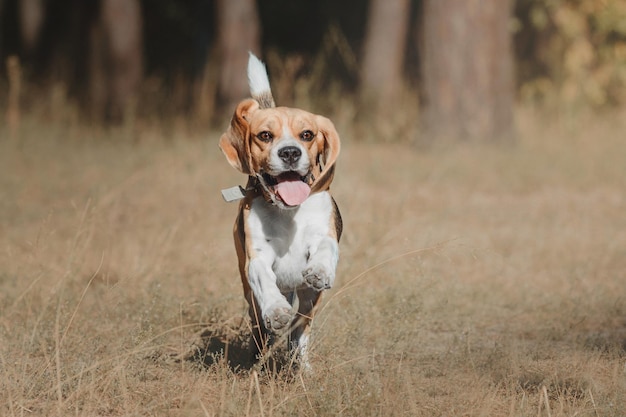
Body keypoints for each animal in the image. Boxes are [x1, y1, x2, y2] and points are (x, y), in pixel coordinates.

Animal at [219, 52, 342, 368]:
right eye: (264, 135)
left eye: (307, 134)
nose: (289, 152)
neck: (288, 212)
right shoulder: (257, 259)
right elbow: (264, 279)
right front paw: (275, 311)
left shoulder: (324, 234)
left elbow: (325, 248)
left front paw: (320, 269)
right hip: (250, 295)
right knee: (261, 327)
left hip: (309, 300)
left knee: (300, 330)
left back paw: (301, 364)